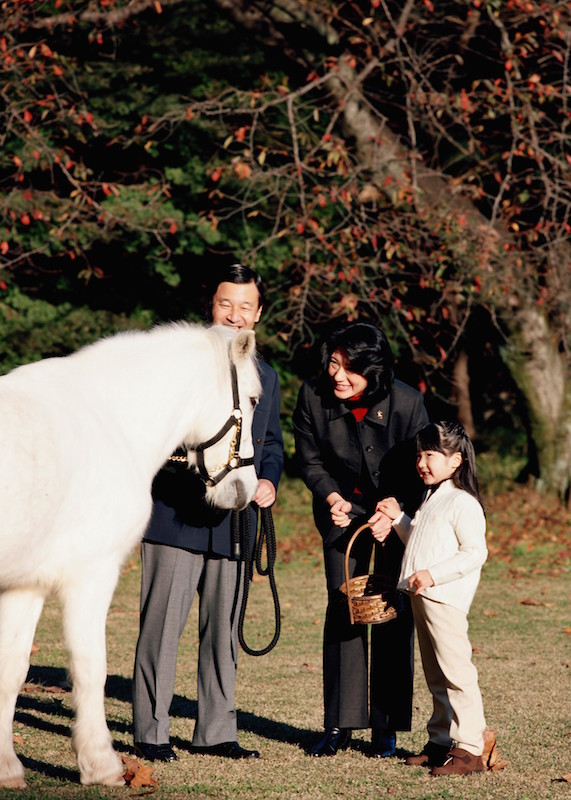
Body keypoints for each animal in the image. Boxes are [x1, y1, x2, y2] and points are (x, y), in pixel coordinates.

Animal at [0, 320, 262, 788]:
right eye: (251, 399)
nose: (246, 490)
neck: (111, 423)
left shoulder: (25, 585)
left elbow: (11, 670)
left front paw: (7, 768)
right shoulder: (92, 574)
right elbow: (91, 668)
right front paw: (102, 764)